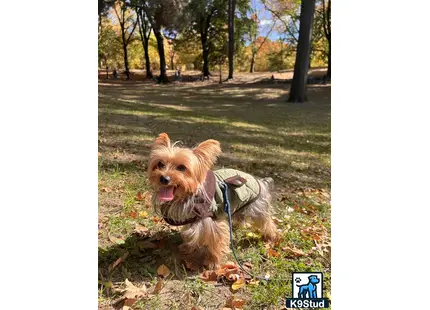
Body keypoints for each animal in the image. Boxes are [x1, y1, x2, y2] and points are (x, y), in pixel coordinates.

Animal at [146, 133, 278, 268]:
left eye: (182, 167)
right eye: (160, 164)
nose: (164, 178)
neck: (186, 195)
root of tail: (261, 182)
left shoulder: (213, 221)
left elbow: (216, 240)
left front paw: (213, 262)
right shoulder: (193, 217)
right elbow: (192, 233)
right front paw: (188, 247)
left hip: (256, 208)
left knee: (267, 223)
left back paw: (272, 237)